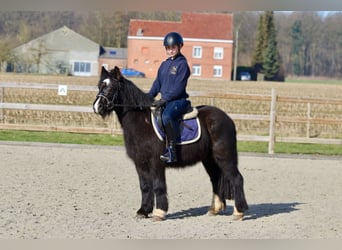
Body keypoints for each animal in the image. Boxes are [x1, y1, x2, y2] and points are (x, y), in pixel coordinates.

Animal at [93, 66, 248, 221]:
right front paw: (143, 211)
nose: (96, 107)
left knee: (237, 178)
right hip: (210, 159)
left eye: (111, 87)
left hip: (224, 156)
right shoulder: (140, 163)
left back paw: (239, 212)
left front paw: (159, 212)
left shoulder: (156, 162)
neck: (142, 122)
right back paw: (213, 210)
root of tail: (227, 118)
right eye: (100, 86)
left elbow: (158, 185)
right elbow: (145, 186)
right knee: (215, 179)